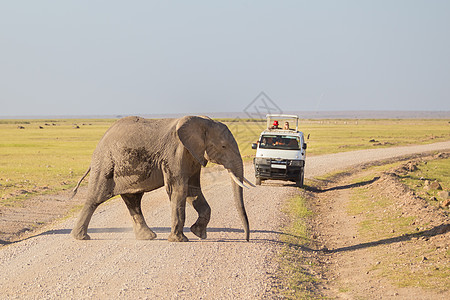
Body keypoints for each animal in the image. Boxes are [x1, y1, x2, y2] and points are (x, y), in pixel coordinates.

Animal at [72, 116, 251, 243]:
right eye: (223, 146)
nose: (247, 239)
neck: (203, 122)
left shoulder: (193, 155)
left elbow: (193, 191)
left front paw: (199, 233)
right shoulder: (175, 154)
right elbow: (179, 189)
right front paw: (179, 240)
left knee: (133, 200)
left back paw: (147, 237)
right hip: (105, 164)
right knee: (95, 198)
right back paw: (81, 237)